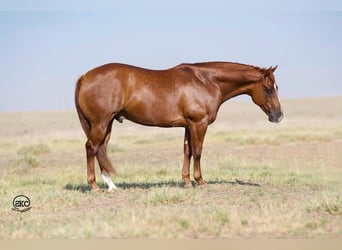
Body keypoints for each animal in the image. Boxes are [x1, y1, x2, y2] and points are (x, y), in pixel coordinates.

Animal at [75, 61, 284, 190]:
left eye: (276, 87)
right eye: (268, 89)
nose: (278, 116)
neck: (206, 81)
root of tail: (84, 77)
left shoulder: (188, 126)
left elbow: (187, 151)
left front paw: (186, 181)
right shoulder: (199, 124)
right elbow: (198, 151)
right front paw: (200, 181)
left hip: (107, 124)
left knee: (101, 149)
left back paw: (111, 185)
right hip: (100, 123)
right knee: (91, 148)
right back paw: (94, 185)